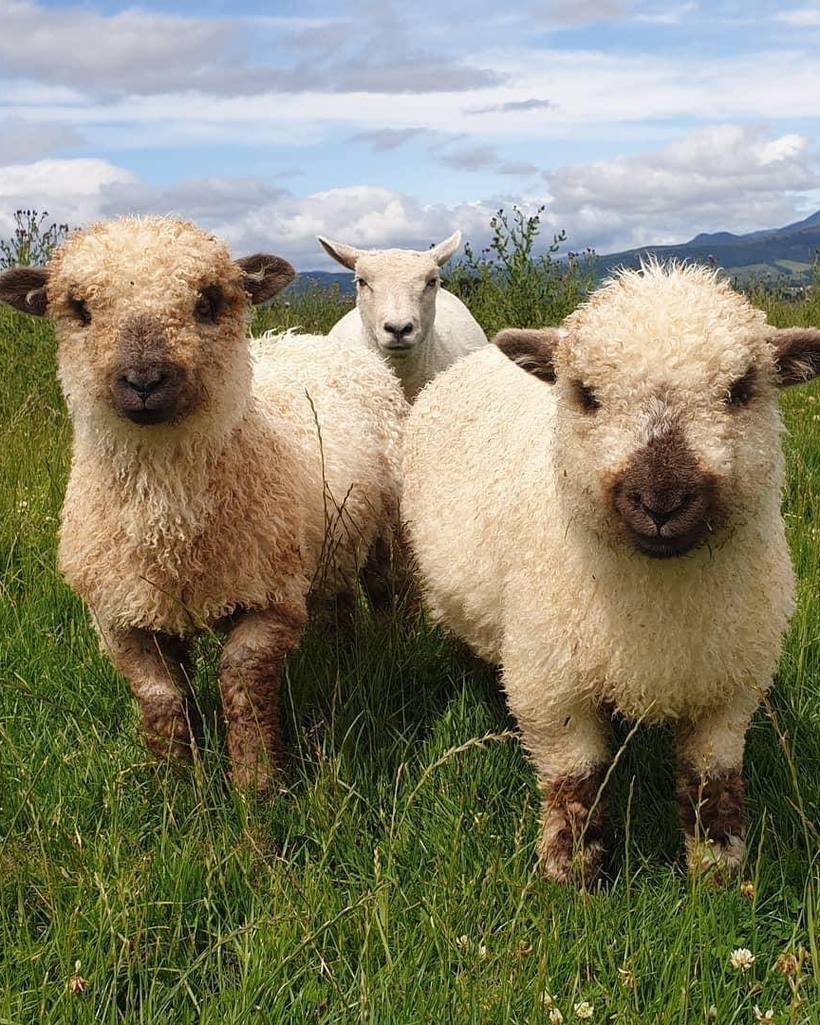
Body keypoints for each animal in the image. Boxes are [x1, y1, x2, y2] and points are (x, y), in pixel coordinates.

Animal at [0, 216, 405, 792]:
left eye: (209, 301)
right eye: (78, 308)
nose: (144, 382)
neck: (170, 532)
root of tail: (310, 340)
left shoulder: (269, 598)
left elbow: (244, 687)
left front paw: (257, 789)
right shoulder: (122, 617)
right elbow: (162, 701)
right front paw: (177, 790)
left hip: (386, 532)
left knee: (387, 592)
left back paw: (392, 650)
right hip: (329, 542)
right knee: (338, 601)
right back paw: (341, 656)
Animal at [402, 261, 820, 885]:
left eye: (742, 390)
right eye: (586, 395)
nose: (661, 500)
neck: (656, 597)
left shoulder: (727, 688)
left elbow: (713, 784)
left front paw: (717, 873)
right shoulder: (552, 687)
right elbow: (577, 782)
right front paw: (574, 874)